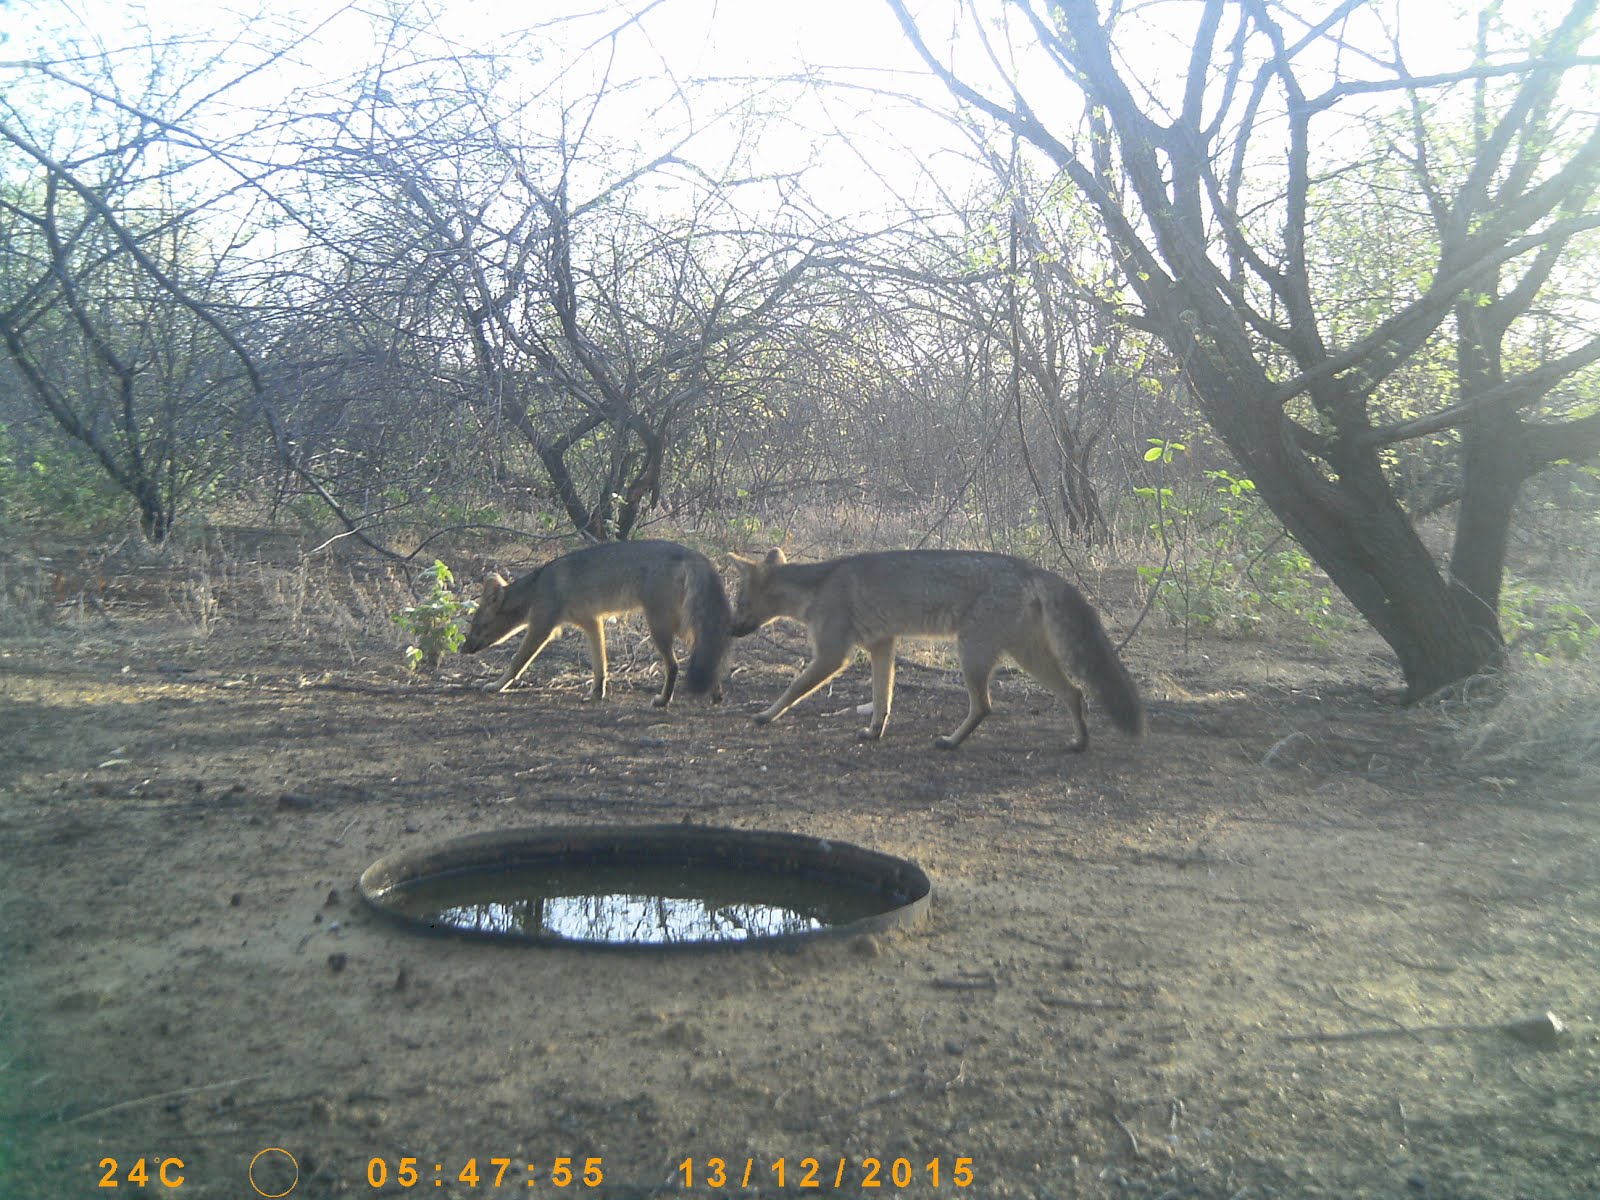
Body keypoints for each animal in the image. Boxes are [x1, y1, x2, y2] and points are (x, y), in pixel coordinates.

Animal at [460, 544, 732, 710]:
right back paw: (716, 693)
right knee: (708, 652)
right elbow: (600, 664)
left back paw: (664, 700)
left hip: (660, 627)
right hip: (677, 626)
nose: (463, 649)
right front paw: (597, 692)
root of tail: (690, 552)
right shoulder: (592, 622)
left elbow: (517, 662)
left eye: (477, 625)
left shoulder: (541, 627)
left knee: (675, 664)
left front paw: (497, 685)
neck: (538, 586)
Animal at [732, 547, 1145, 752]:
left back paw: (951, 741)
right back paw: (1080, 742)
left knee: (985, 706)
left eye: (739, 603)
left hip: (972, 656)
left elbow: (793, 688)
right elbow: (882, 699)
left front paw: (766, 714)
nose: (731, 629)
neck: (817, 584)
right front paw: (875, 731)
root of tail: (1030, 568)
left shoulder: (834, 655)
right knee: (1074, 692)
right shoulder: (882, 645)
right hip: (1026, 656)